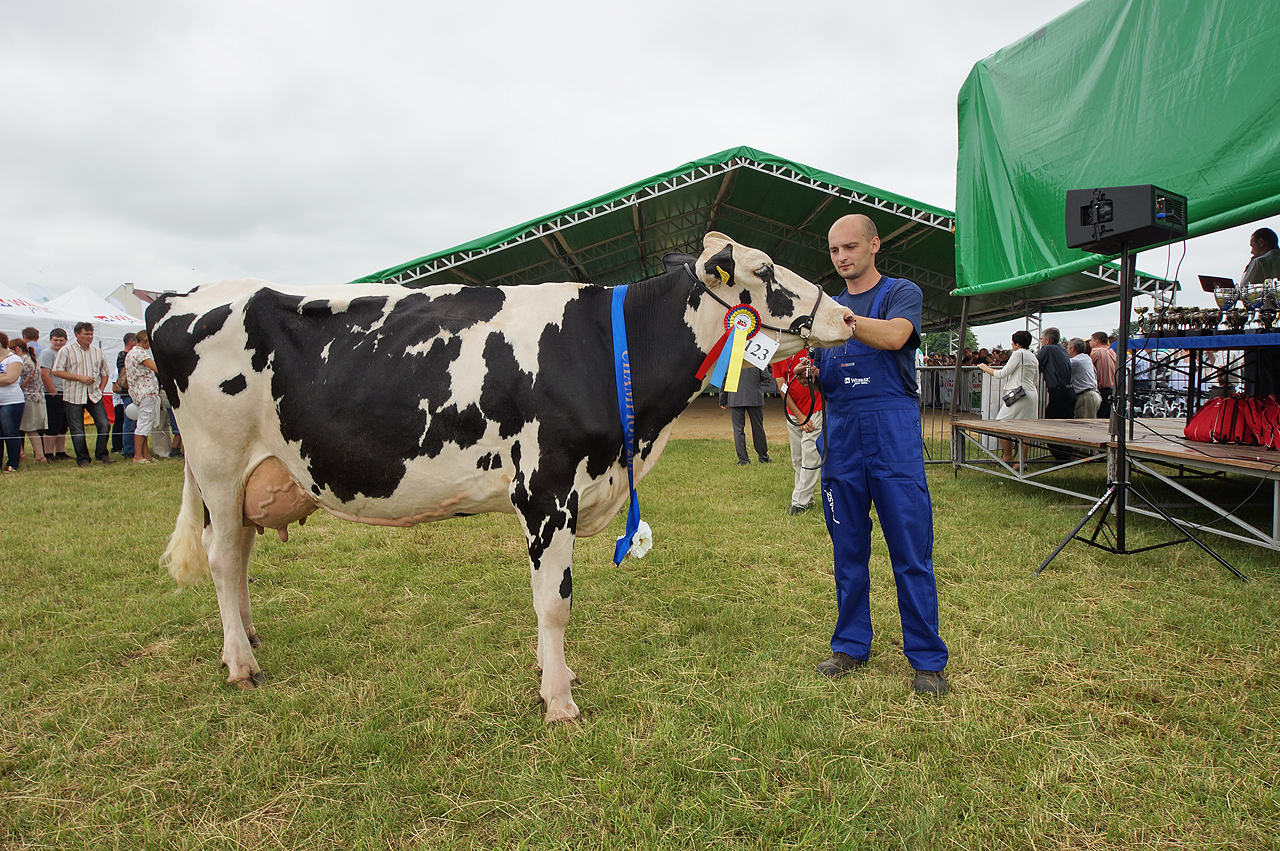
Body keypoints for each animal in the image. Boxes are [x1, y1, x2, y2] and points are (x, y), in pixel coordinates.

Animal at [147, 230, 849, 716]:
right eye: (764, 270)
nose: (844, 315)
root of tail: (178, 298)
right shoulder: (547, 489)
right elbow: (555, 602)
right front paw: (559, 701)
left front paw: (553, 682)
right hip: (217, 464)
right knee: (222, 557)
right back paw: (241, 665)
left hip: (245, 477)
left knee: (238, 557)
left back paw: (248, 638)